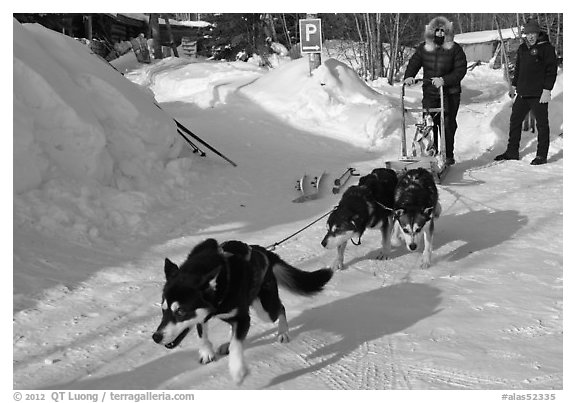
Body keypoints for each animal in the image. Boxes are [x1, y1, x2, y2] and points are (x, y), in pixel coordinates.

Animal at [152, 238, 332, 386]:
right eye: (163, 309)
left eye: (181, 311)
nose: (156, 337)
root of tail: (263, 251)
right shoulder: (205, 314)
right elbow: (202, 330)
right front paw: (206, 352)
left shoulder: (243, 317)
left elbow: (237, 343)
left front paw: (237, 371)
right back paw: (226, 344)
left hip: (265, 310)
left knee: (280, 308)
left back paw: (283, 332)